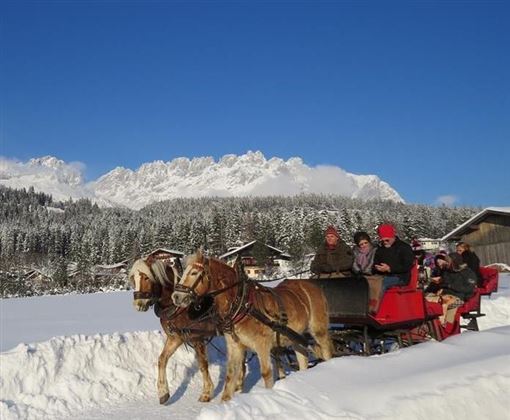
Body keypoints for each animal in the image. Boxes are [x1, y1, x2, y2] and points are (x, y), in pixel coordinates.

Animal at [129, 254, 217, 406]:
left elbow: (203, 364)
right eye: (134, 278)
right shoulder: (175, 337)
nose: (138, 304)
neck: (177, 307)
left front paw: (207, 392)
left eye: (146, 277)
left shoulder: (197, 338)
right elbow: (162, 359)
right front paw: (163, 392)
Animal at [171, 251, 332, 402]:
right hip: (294, 337)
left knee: (325, 351)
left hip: (318, 330)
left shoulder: (262, 345)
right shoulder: (235, 347)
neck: (243, 305)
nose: (176, 297)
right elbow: (230, 376)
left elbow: (266, 374)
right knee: (303, 357)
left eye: (194, 273)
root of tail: (312, 286)